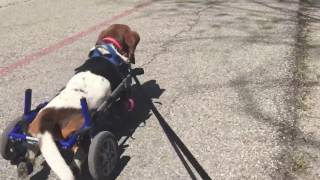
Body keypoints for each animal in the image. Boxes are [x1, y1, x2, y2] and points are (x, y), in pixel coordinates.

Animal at [26, 24, 139, 180]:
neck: (106, 51)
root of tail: (47, 116)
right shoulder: (123, 88)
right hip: (81, 131)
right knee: (81, 150)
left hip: (35, 132)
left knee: (32, 146)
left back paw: (24, 165)